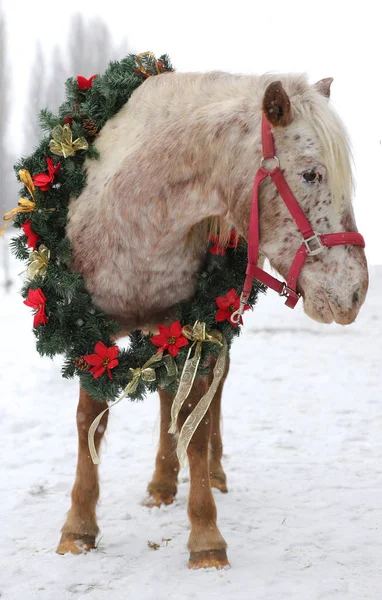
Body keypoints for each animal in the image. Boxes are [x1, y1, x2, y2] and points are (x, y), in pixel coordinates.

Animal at [56, 70, 368, 568]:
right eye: (311, 173)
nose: (355, 292)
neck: (136, 219)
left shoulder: (195, 329)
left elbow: (197, 428)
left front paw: (205, 536)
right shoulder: (89, 329)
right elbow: (91, 419)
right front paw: (78, 527)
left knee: (206, 394)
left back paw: (203, 476)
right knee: (167, 392)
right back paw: (161, 485)